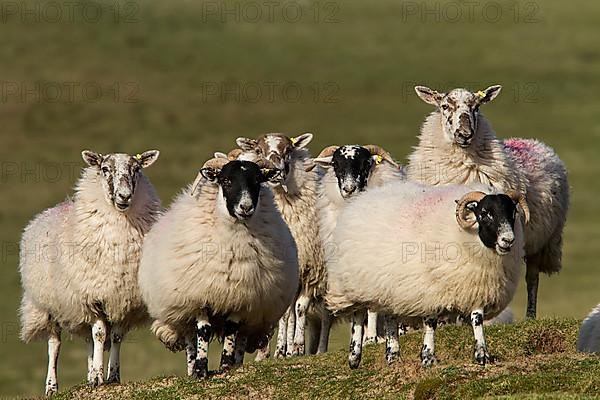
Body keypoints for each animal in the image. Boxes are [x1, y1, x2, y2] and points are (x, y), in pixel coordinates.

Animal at [19, 149, 162, 394]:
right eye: (105, 169)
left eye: (137, 169)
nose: (124, 196)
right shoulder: (92, 297)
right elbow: (100, 334)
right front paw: (97, 377)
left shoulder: (123, 299)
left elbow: (115, 337)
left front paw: (111, 376)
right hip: (48, 306)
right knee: (55, 344)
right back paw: (52, 387)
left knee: (88, 340)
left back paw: (89, 372)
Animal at [236, 133, 328, 358]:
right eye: (258, 151)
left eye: (289, 150)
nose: (274, 169)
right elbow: (286, 315)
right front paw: (280, 349)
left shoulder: (312, 268)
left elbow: (301, 308)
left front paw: (298, 346)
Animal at [312, 144, 406, 346]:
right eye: (335, 163)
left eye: (366, 163)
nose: (349, 189)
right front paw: (359, 339)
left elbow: (372, 307)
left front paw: (371, 338)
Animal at [326, 181, 528, 368]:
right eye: (485, 213)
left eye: (512, 212)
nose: (508, 240)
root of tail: (364, 197)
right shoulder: (430, 290)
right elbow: (430, 323)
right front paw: (428, 357)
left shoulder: (476, 287)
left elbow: (477, 320)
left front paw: (482, 354)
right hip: (353, 283)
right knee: (358, 315)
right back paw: (354, 357)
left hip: (390, 288)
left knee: (390, 317)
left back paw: (393, 355)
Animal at [410, 84, 568, 318]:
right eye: (445, 106)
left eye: (476, 107)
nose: (464, 134)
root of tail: (535, 142)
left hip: (541, 242)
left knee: (532, 278)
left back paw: (530, 316)